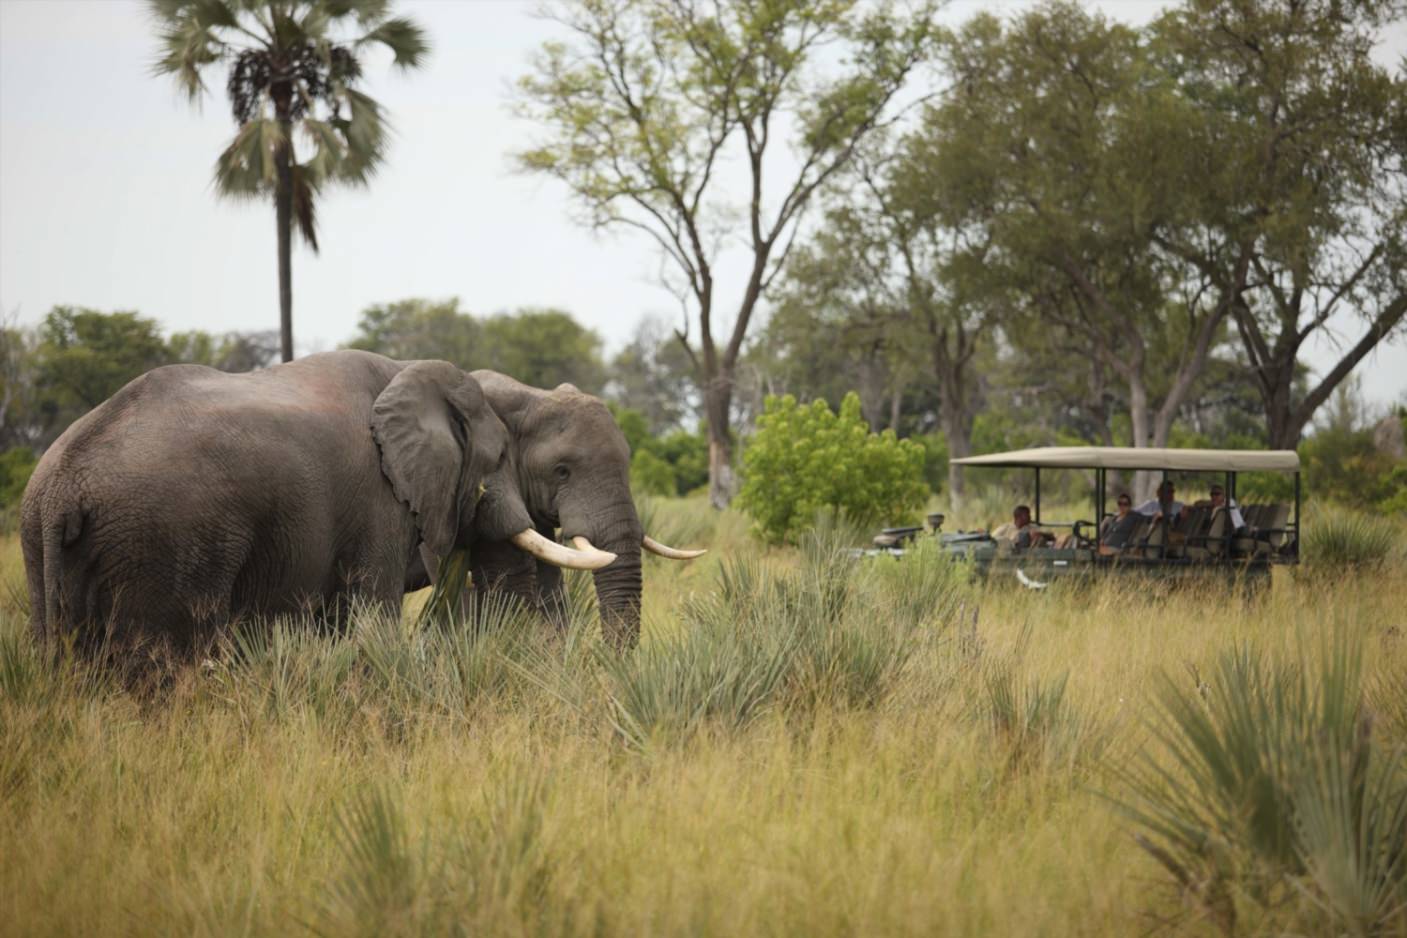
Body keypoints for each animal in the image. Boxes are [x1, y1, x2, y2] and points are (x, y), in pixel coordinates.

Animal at [19, 350, 614, 658]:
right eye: (500, 458)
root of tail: (62, 486)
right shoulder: (378, 499)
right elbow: (374, 611)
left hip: (43, 545)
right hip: (163, 539)